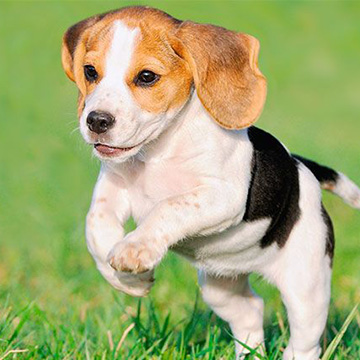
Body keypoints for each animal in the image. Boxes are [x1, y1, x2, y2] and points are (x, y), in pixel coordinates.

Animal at [61, 6, 360, 360]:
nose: (96, 121)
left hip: (306, 286)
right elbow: (96, 225)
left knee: (305, 340)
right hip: (220, 289)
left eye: (147, 77)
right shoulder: (114, 188)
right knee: (251, 311)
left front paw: (135, 249)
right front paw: (127, 279)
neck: (158, 150)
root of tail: (300, 165)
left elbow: (168, 206)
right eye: (90, 71)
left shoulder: (222, 197)